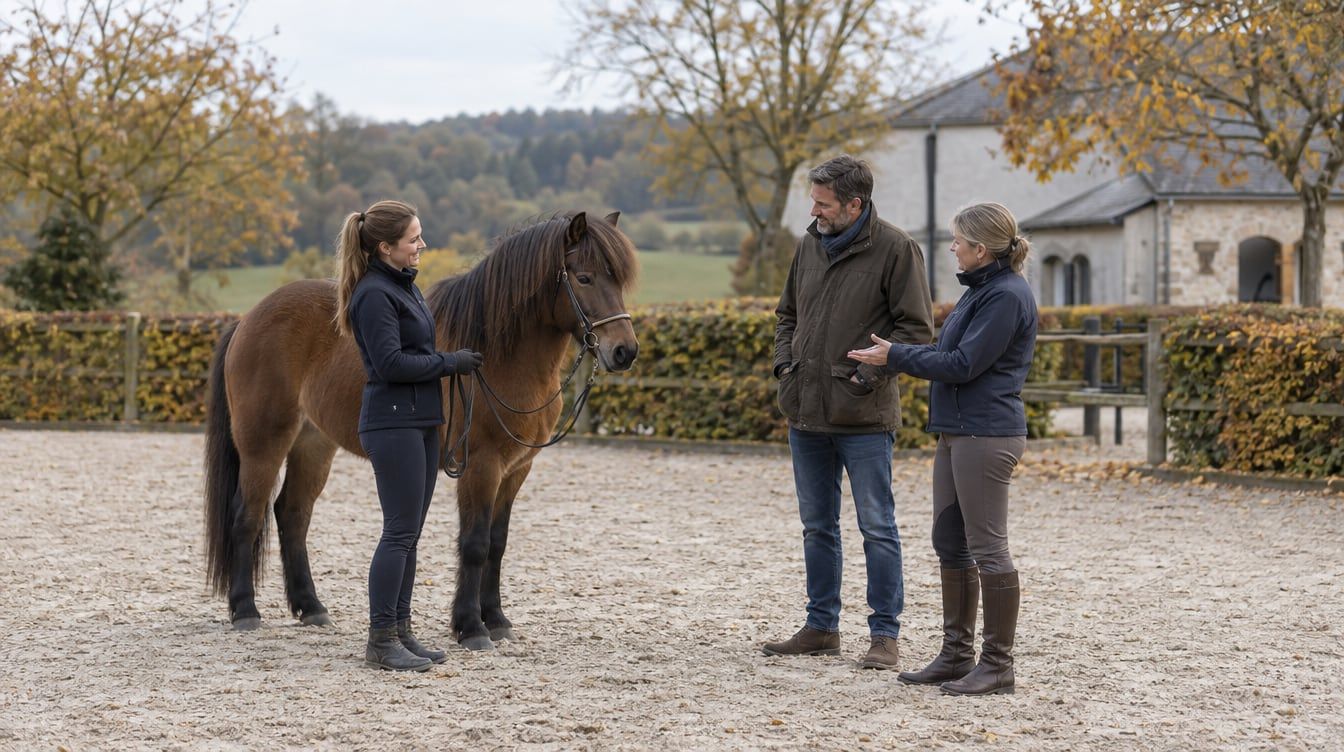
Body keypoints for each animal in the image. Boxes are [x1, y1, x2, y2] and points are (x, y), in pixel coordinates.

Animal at [203, 211, 639, 650]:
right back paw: (245, 611)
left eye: (618, 280)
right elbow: (475, 543)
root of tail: (247, 320)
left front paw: (497, 620)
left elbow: (497, 544)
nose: (625, 351)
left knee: (291, 514)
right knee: (247, 515)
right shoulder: (481, 466)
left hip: (313, 445)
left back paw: (311, 608)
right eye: (583, 278)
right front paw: (471, 627)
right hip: (263, 444)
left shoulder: (516, 469)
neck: (499, 353)